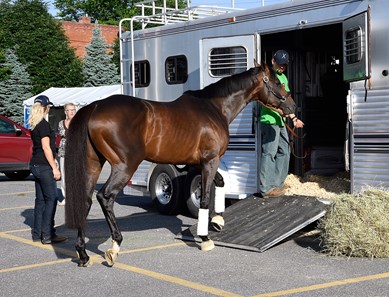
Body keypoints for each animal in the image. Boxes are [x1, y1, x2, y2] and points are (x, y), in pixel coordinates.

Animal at [64, 62, 294, 266]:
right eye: (277, 81)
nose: (292, 105)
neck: (214, 108)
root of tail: (95, 107)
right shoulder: (210, 161)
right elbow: (205, 198)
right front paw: (205, 238)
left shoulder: (197, 163)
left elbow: (220, 183)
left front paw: (218, 220)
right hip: (124, 166)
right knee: (105, 197)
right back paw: (115, 246)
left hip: (94, 165)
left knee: (85, 200)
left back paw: (83, 254)